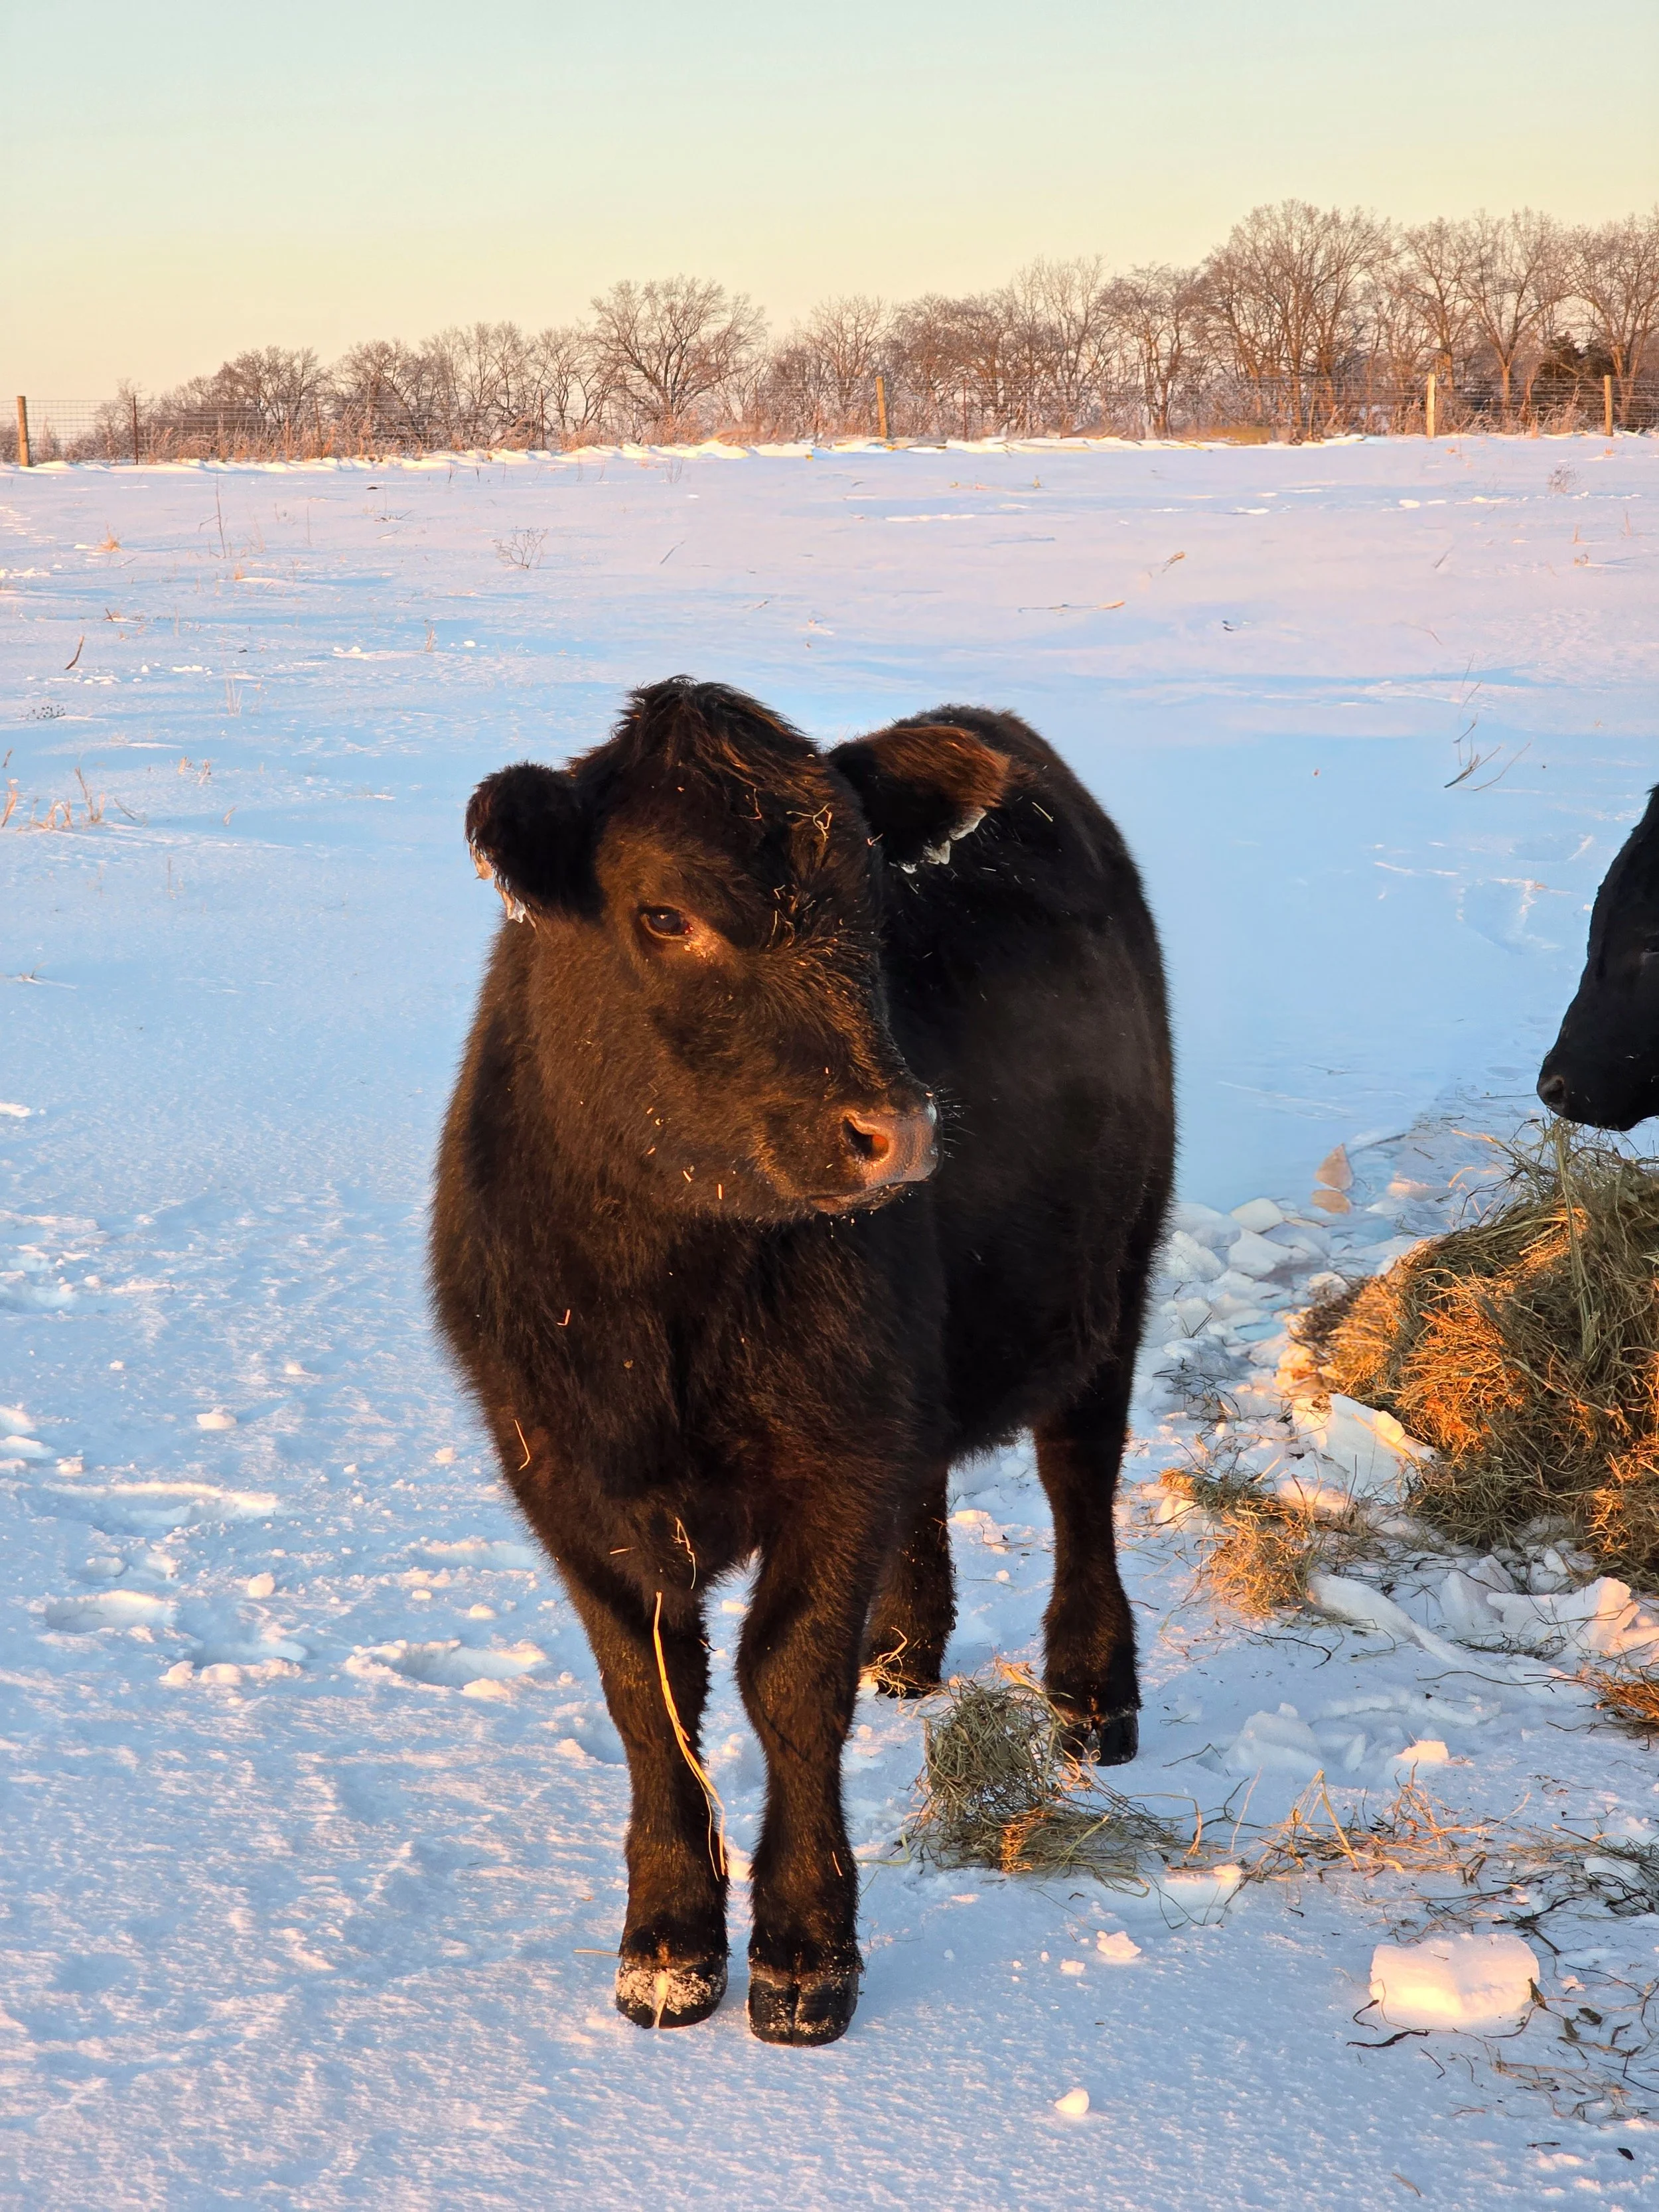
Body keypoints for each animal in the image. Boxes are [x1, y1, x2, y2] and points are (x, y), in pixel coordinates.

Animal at [431, 677, 1174, 2046]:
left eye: (877, 904)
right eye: (662, 913)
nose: (897, 1130)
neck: (662, 1300)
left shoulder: (836, 1461)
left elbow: (786, 1679)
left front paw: (804, 1950)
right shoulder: (562, 1471)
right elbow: (647, 1697)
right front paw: (667, 1943)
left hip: (1115, 1265)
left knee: (1078, 1471)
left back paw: (1094, 1691)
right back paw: (909, 1644)